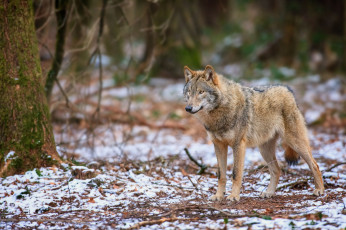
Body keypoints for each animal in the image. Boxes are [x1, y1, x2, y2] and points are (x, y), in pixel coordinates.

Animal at [184, 64, 324, 201]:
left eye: (201, 92)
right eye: (189, 92)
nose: (188, 108)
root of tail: (288, 89)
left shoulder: (238, 145)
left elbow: (236, 173)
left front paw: (233, 196)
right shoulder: (218, 146)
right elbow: (221, 175)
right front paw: (219, 196)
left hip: (295, 142)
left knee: (314, 164)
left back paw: (320, 190)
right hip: (264, 149)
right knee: (277, 170)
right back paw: (269, 193)